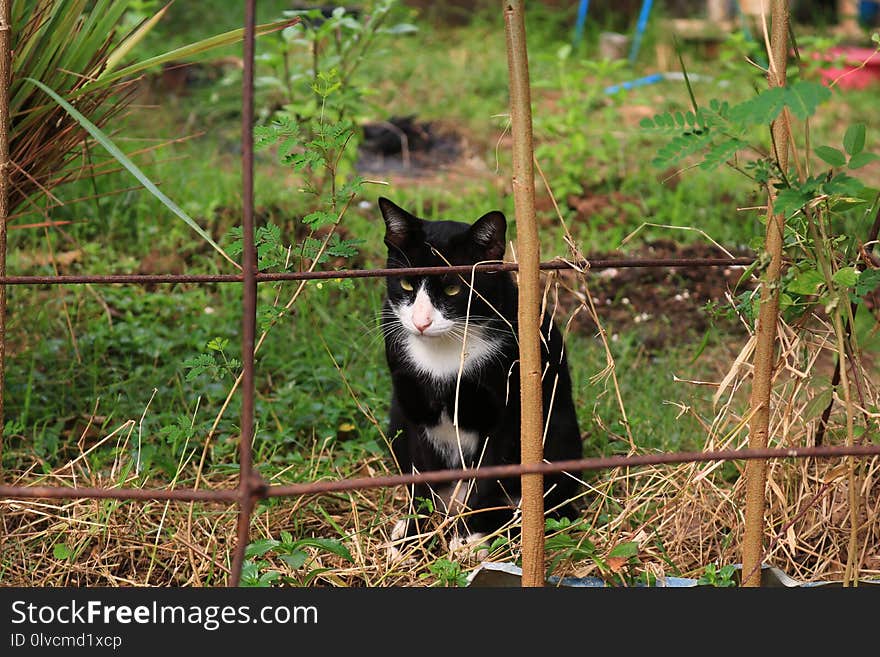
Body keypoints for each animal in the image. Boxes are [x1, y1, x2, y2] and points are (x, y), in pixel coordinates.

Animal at [378, 197, 584, 552]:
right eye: (406, 283)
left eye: (452, 288)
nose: (421, 322)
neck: (446, 354)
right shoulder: (411, 405)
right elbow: (419, 476)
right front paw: (413, 537)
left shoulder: (505, 412)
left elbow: (488, 477)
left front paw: (469, 536)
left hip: (561, 429)